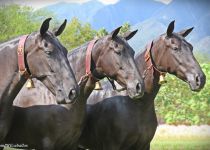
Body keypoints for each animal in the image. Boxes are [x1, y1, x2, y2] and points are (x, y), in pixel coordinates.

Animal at [76, 20, 205, 149]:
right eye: (175, 48)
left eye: (191, 47)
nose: (200, 79)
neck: (137, 104)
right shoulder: (112, 145)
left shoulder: (144, 145)